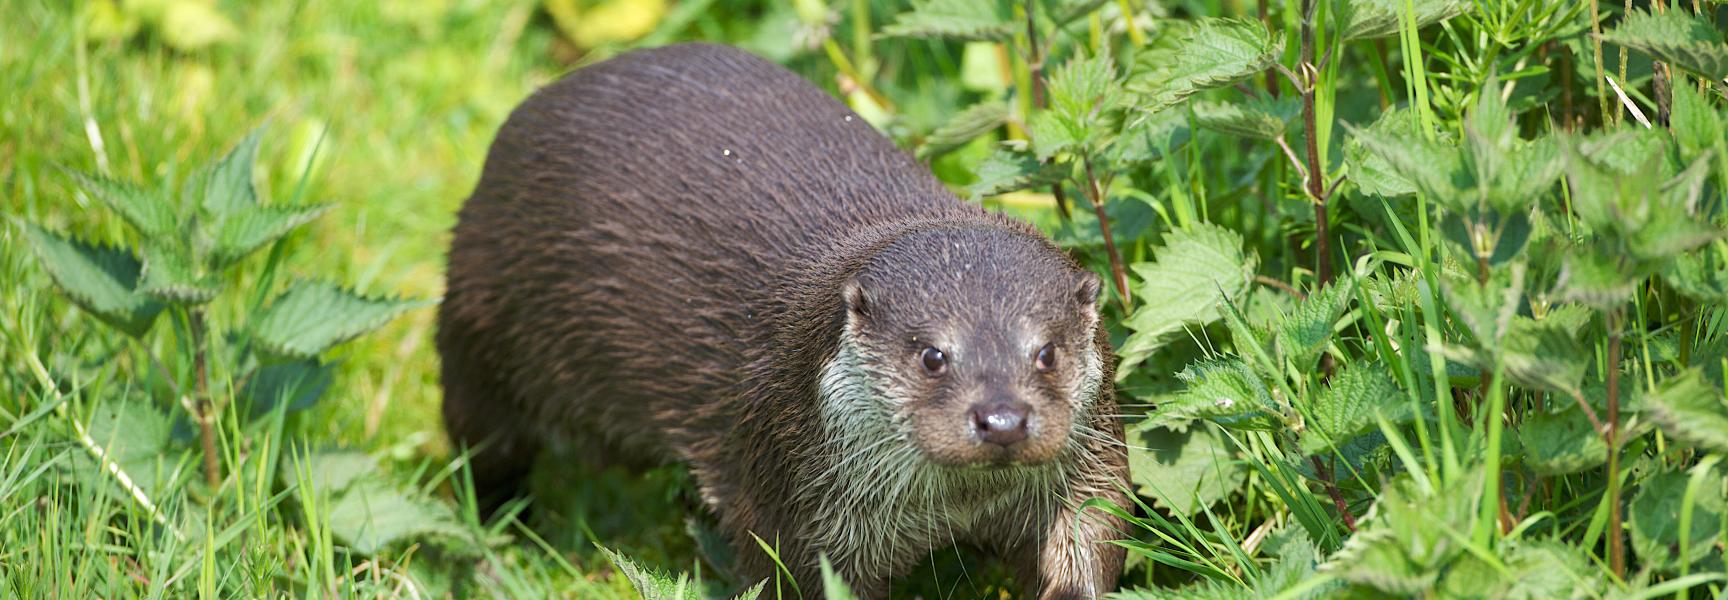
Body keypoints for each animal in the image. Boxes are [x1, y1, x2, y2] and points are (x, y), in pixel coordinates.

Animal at [438, 43, 1129, 598]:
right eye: (932, 355)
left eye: (1046, 352)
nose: (1002, 419)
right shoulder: (791, 499)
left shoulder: (1091, 463)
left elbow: (1097, 533)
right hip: (480, 324)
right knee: (481, 449)